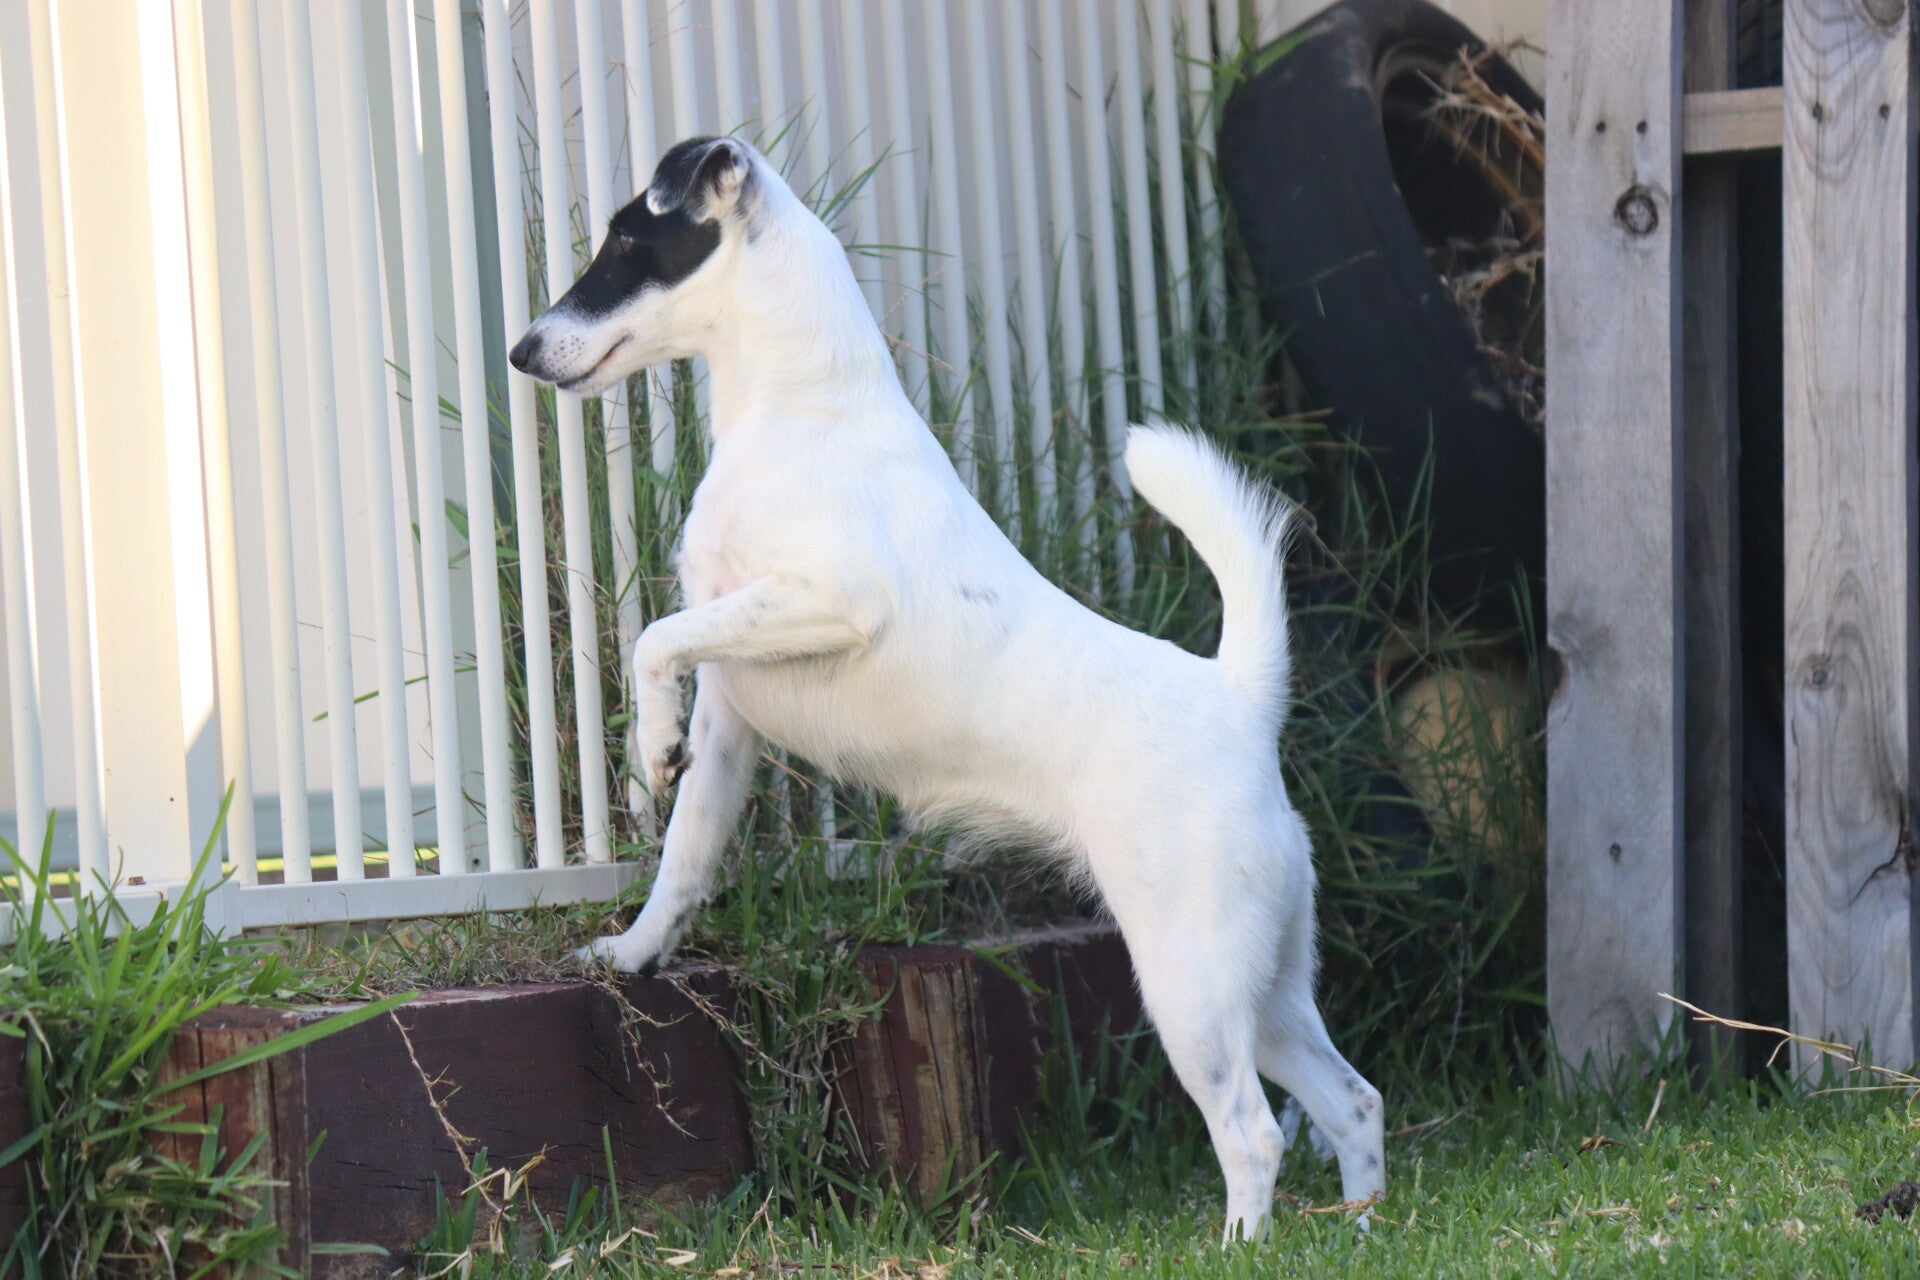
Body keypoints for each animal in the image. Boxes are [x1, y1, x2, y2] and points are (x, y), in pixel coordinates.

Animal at [510, 135, 1385, 1240]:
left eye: (631, 240)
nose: (520, 351)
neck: (802, 408)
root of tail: (1238, 698)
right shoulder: (736, 711)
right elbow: (685, 855)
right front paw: (633, 949)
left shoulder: (834, 598)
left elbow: (655, 640)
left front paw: (642, 752)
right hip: (1266, 984)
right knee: (1353, 1099)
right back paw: (1362, 1224)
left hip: (1192, 980)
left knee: (1256, 1132)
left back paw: (1235, 1246)